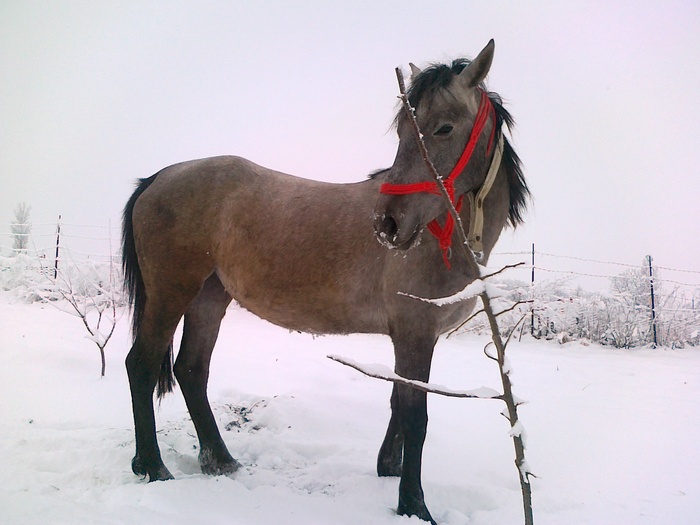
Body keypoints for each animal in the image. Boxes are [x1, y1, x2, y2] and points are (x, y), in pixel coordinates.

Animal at [121, 39, 524, 520]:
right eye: (403, 131)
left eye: (444, 128)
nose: (388, 224)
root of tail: (160, 177)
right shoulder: (414, 333)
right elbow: (415, 416)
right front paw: (414, 504)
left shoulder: (414, 337)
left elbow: (397, 401)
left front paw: (388, 468)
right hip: (171, 293)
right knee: (142, 366)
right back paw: (153, 467)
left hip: (208, 298)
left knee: (191, 369)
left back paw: (220, 460)